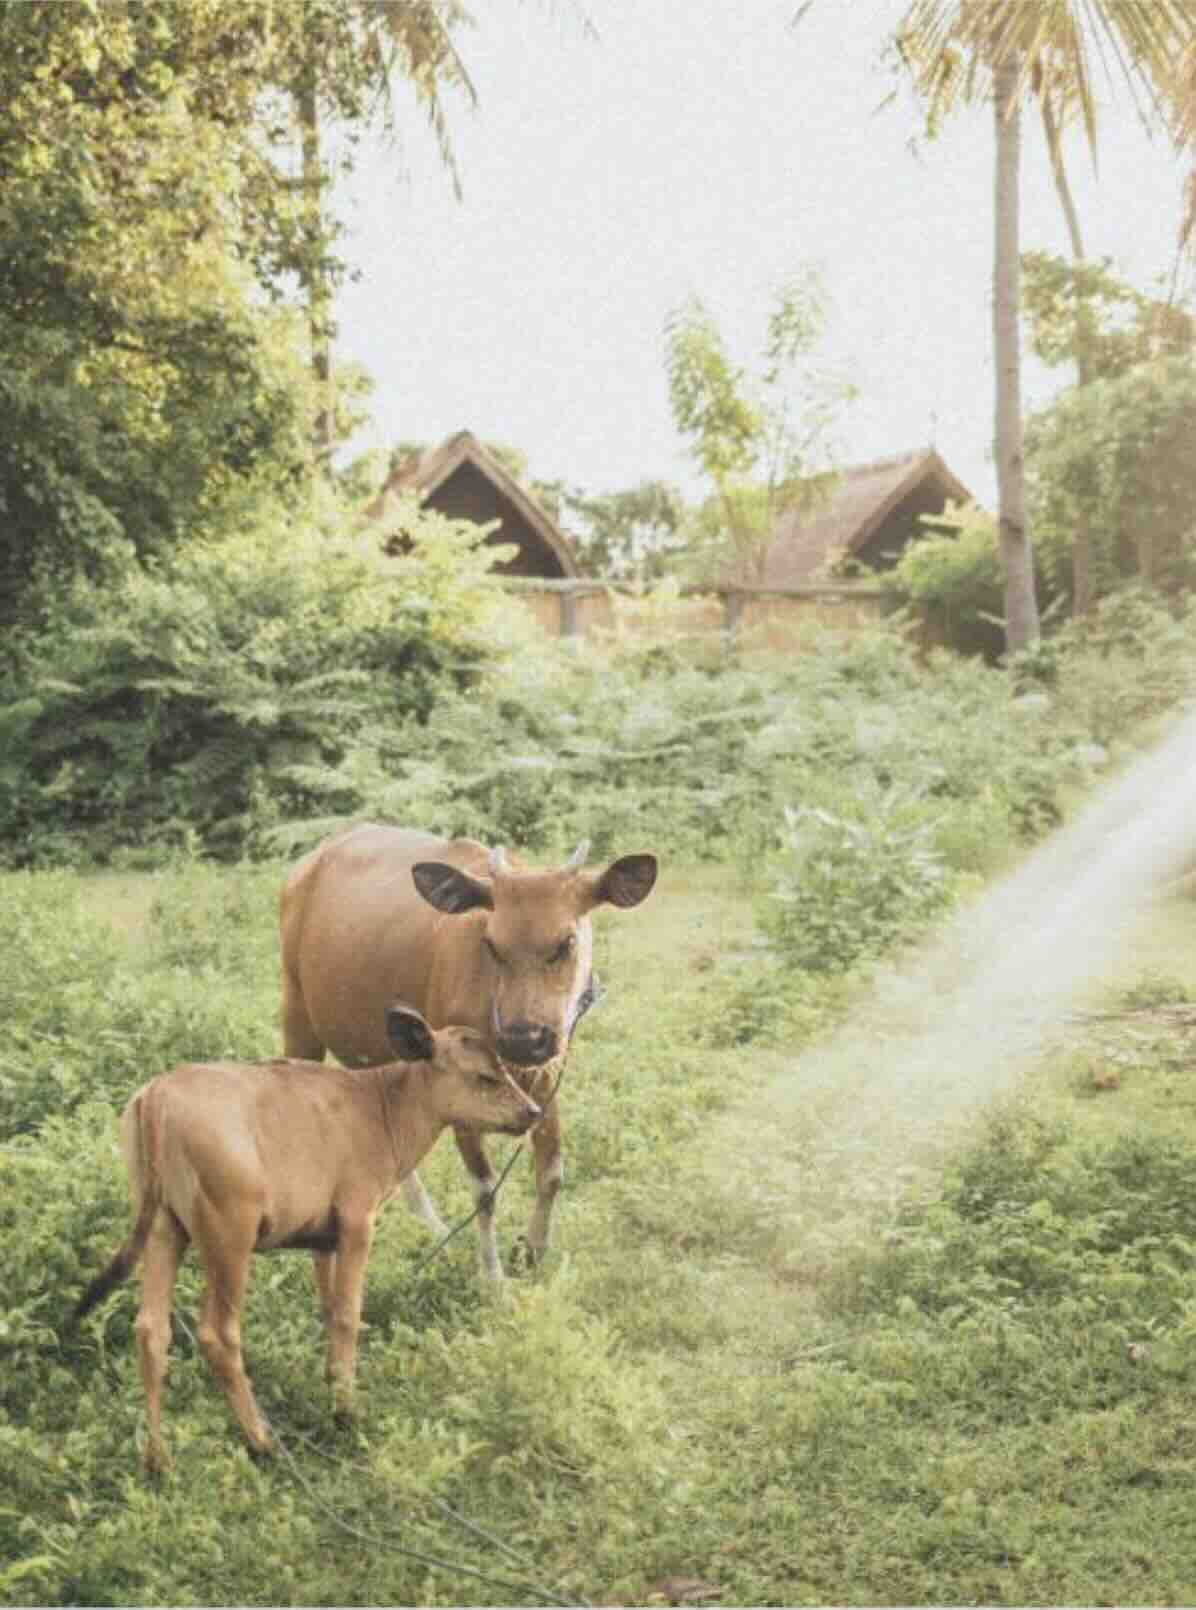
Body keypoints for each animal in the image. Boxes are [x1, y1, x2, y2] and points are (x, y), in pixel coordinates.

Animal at [71, 1005, 541, 1473]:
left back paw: (159, 1460)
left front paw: (332, 1382)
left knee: (151, 1330)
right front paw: (346, 1411)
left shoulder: (322, 1238)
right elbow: (349, 1314)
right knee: (217, 1334)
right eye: (485, 1076)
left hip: (164, 1228)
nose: (533, 1110)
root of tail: (156, 1096)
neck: (381, 1107)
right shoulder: (357, 1220)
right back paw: (262, 1441)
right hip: (229, 1235)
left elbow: (329, 1309)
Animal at [279, 825, 658, 1279]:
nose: (523, 1038)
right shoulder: (455, 1085)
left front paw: (533, 1251)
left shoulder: (548, 1074)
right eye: (491, 944)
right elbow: (485, 1190)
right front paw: (492, 1277)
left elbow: (551, 1173)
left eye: (565, 942)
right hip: (297, 1014)